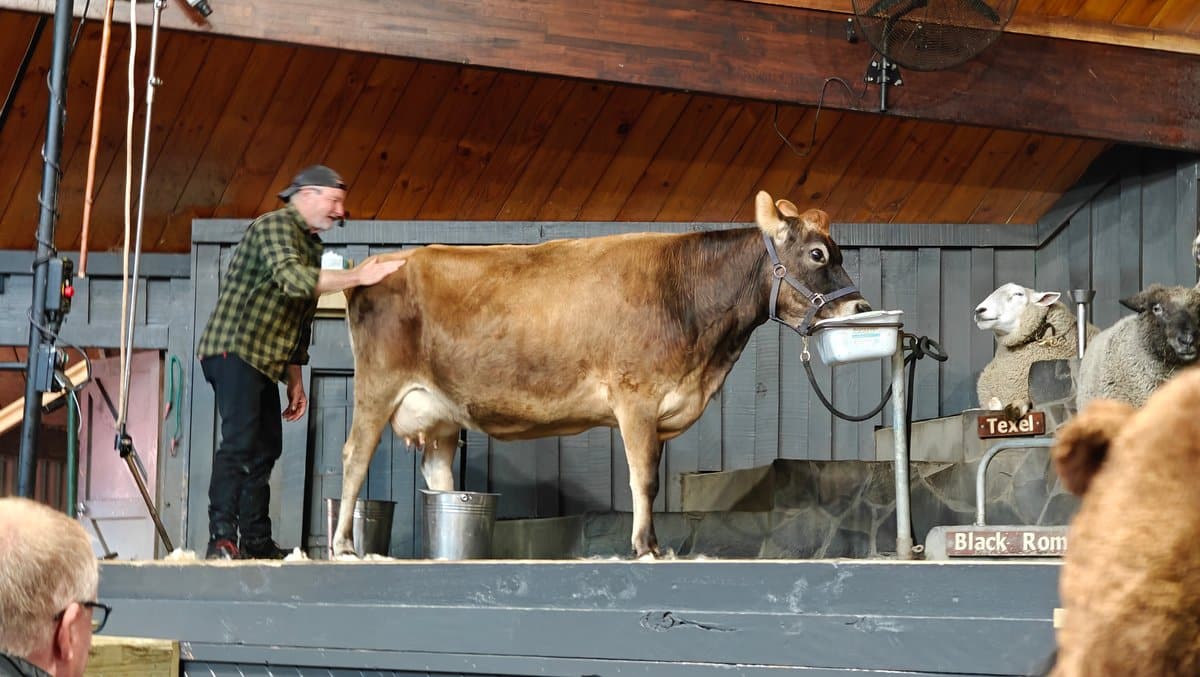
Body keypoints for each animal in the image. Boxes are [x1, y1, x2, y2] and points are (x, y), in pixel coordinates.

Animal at [332, 190, 870, 558]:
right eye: (818, 254)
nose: (862, 308)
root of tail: (388, 258)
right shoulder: (637, 398)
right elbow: (643, 479)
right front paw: (645, 547)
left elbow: (650, 478)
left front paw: (653, 544)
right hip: (377, 386)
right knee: (355, 456)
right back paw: (342, 546)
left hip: (440, 412)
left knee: (439, 476)